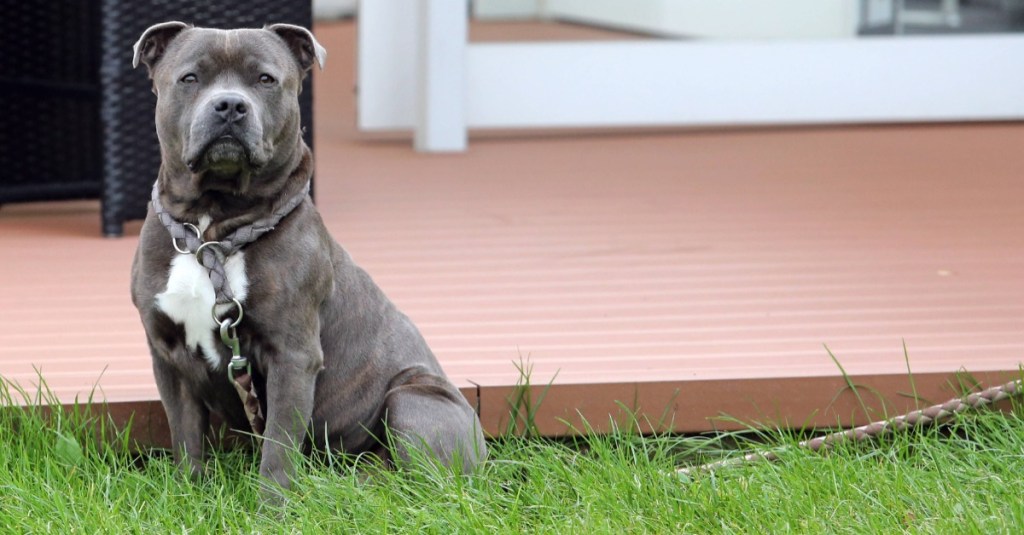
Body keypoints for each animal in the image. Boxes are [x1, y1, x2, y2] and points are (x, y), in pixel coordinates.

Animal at [129, 20, 487, 496]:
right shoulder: (168, 355)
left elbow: (278, 446)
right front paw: (190, 492)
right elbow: (185, 436)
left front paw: (271, 505)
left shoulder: (292, 357)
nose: (230, 104)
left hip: (411, 398)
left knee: (431, 481)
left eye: (265, 79)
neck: (211, 230)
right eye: (190, 78)